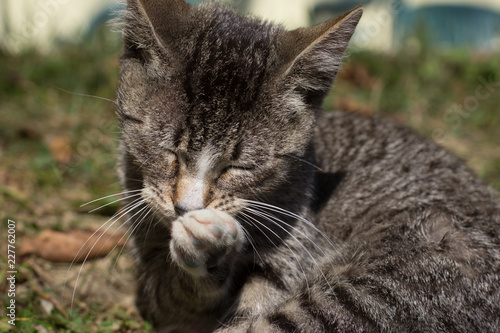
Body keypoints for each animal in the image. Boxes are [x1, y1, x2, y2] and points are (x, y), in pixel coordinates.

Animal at [114, 0, 500, 330]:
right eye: (168, 150)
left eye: (240, 167)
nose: (187, 207)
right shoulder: (155, 282)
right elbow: (175, 298)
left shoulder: (293, 246)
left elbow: (256, 303)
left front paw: (208, 242)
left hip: (396, 278)